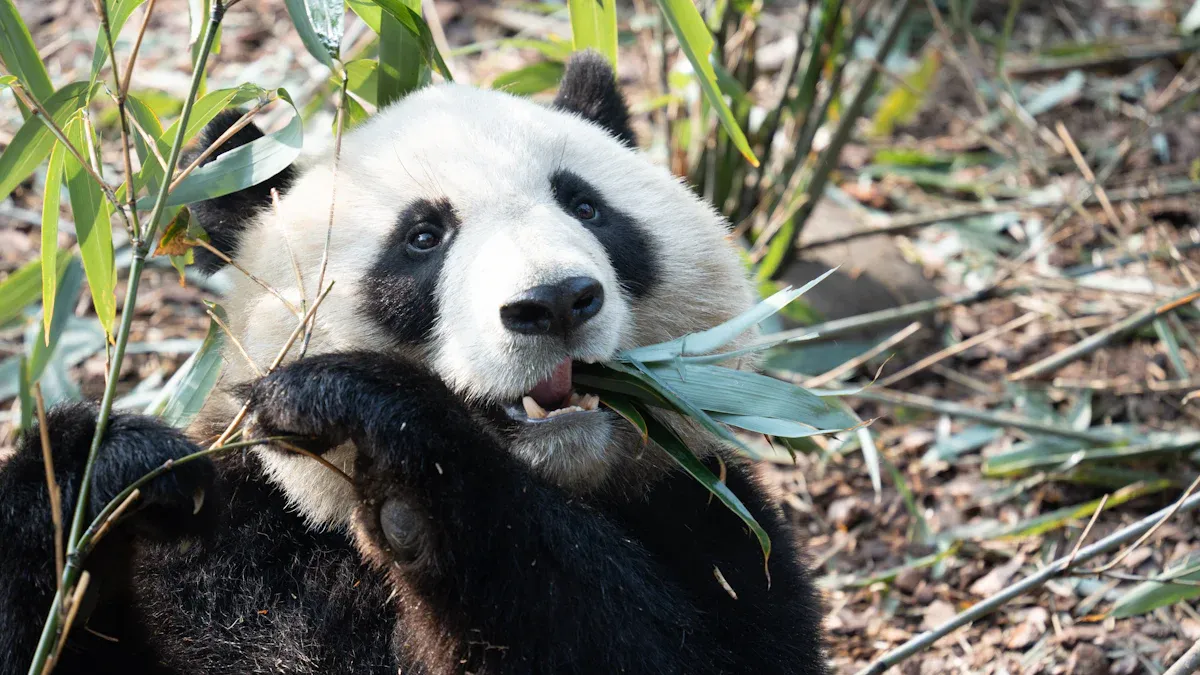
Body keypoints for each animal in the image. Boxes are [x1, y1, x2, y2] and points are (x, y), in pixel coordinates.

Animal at [0, 52, 829, 674]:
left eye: (587, 207)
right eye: (423, 237)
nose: (555, 301)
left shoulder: (716, 525)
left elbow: (665, 645)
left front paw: (383, 436)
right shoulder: (224, 542)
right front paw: (108, 466)